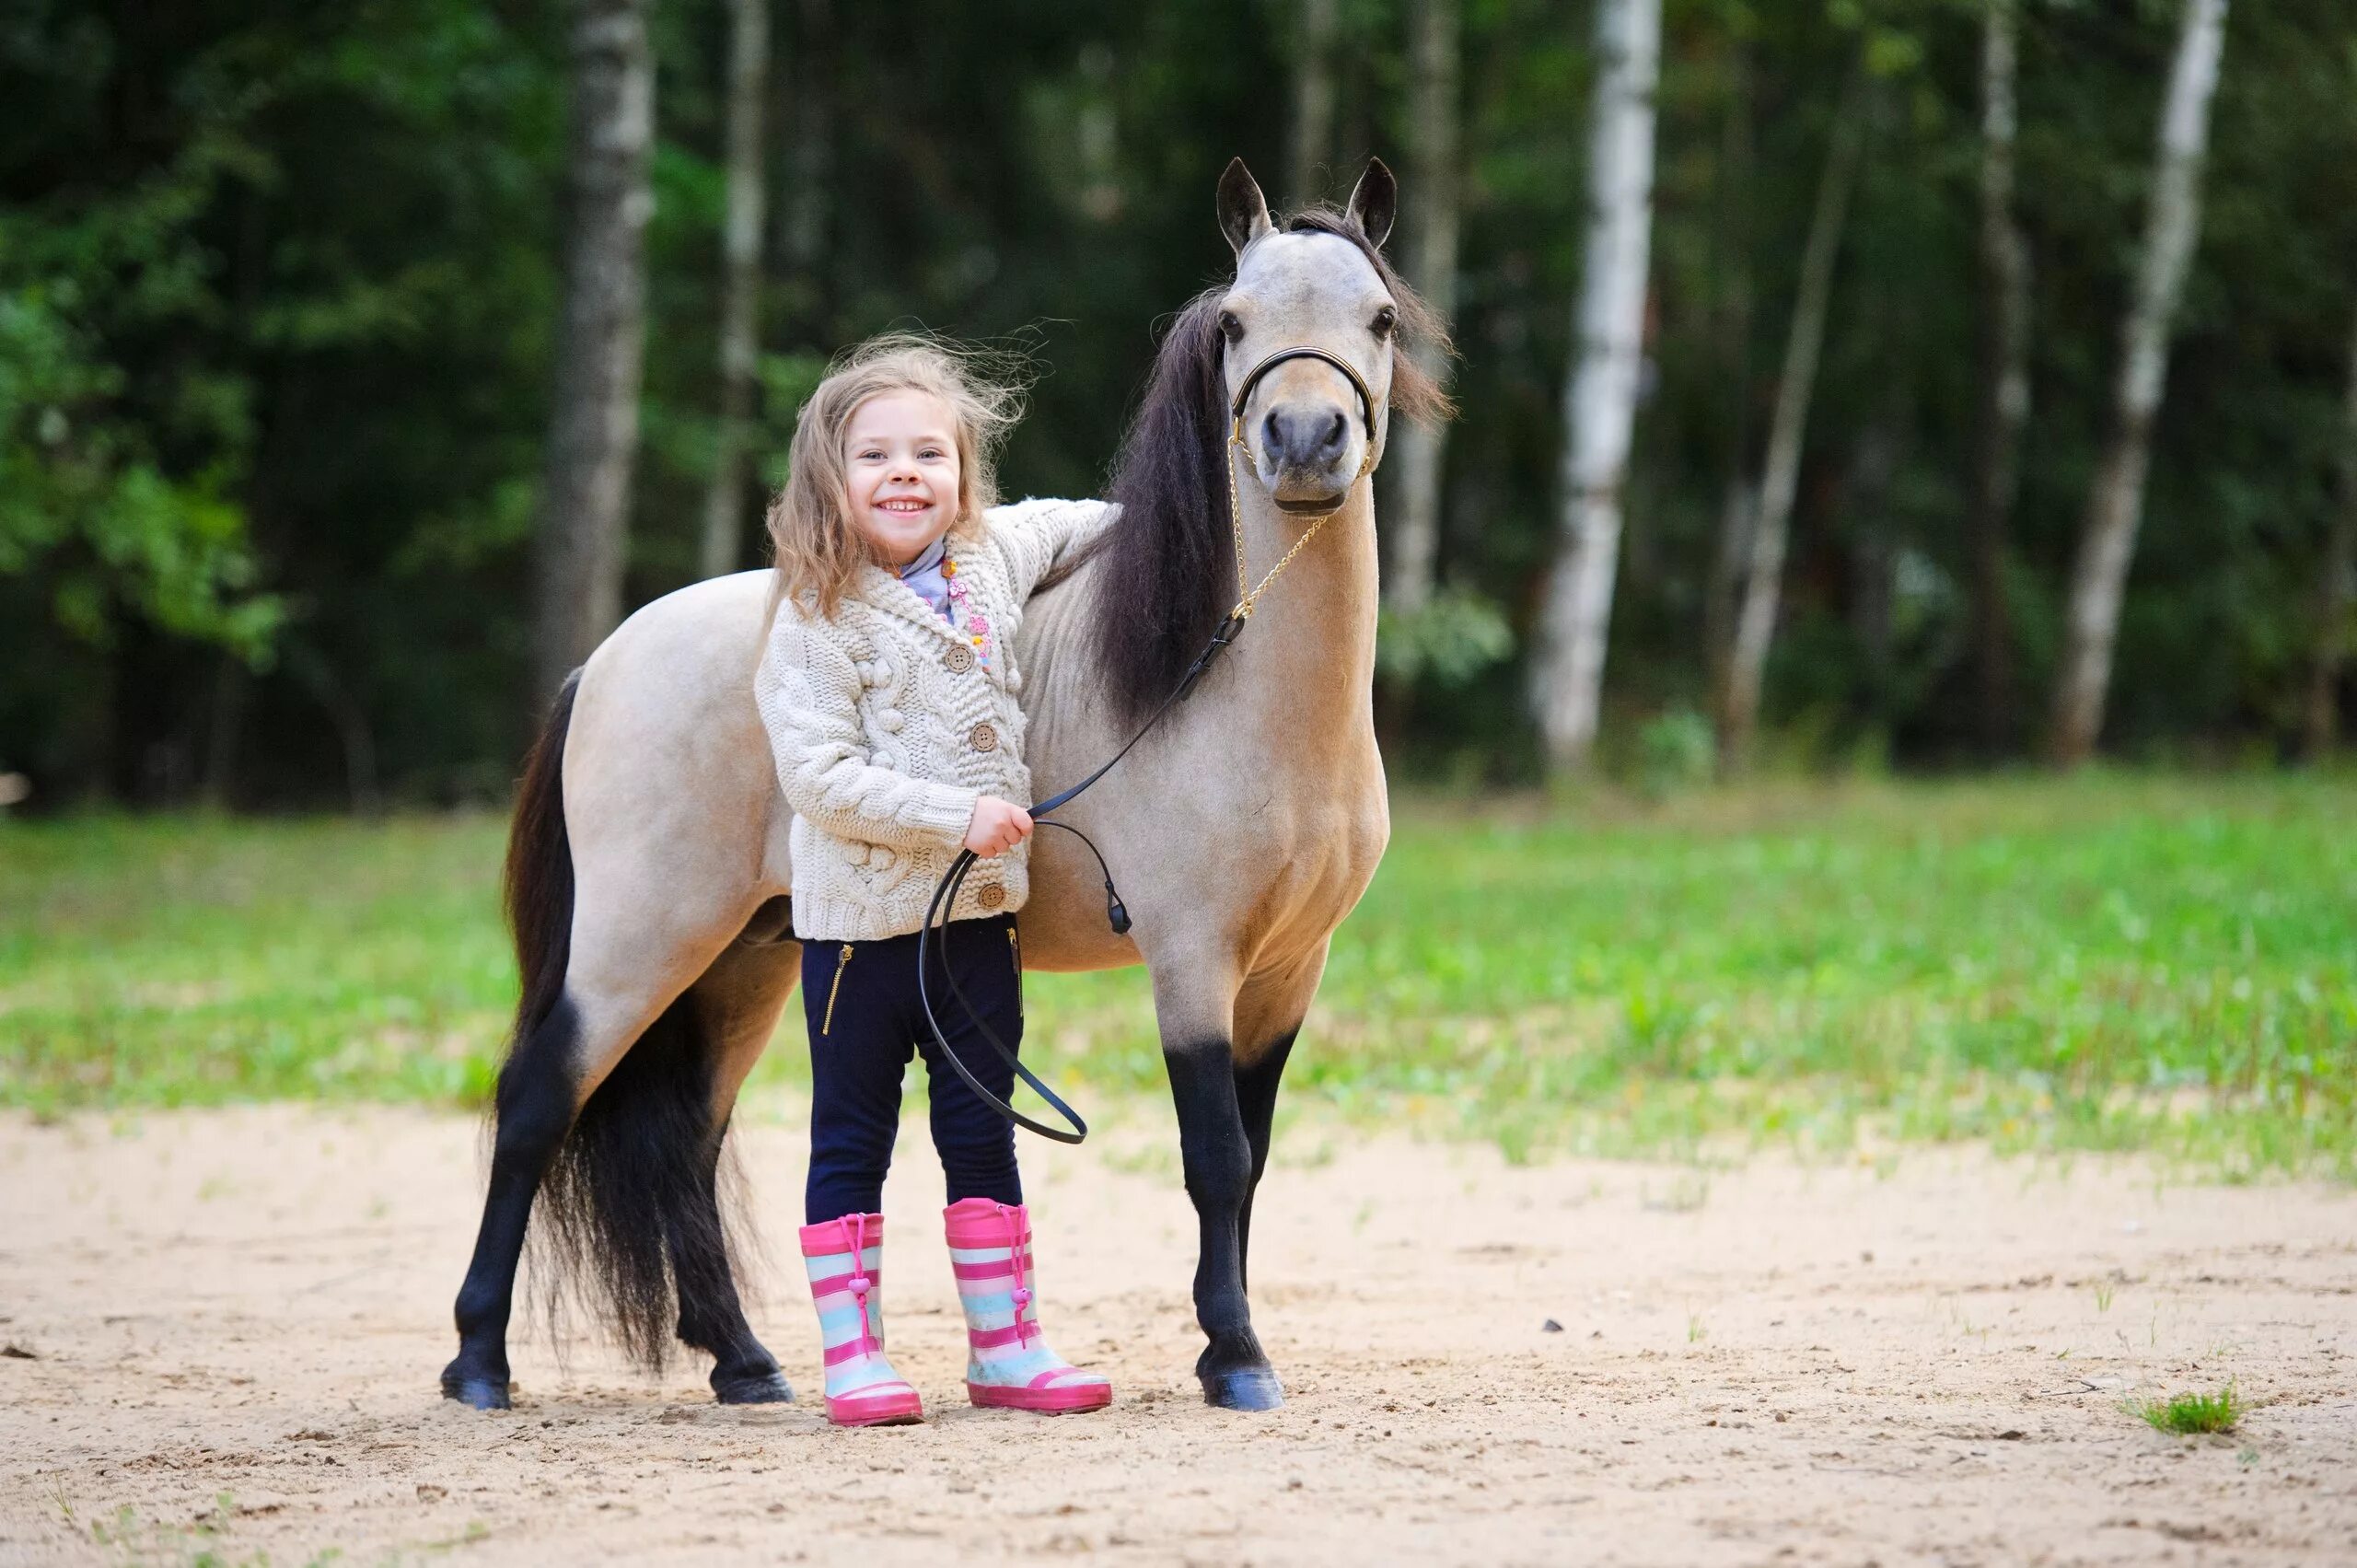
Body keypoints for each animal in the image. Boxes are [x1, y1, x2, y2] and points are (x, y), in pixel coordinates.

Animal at [434, 156, 1442, 1405]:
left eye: (1380, 318)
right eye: (1236, 324)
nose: (1305, 440)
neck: (1231, 690)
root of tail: (607, 658)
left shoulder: (1288, 971)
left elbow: (1249, 1163)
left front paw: (1228, 1342)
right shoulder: (1194, 961)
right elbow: (1212, 1157)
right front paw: (1239, 1357)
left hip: (742, 961)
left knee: (687, 1137)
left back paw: (745, 1360)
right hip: (636, 942)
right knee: (538, 1100)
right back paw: (479, 1359)